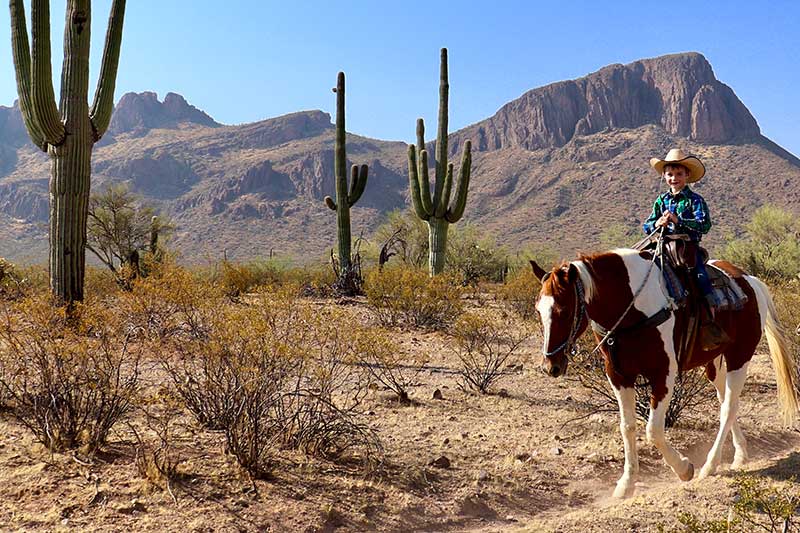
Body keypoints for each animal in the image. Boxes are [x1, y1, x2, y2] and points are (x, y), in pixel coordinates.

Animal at [528, 247, 796, 496]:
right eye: (538, 310)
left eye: (563, 310)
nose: (550, 366)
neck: (632, 307)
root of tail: (750, 281)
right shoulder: (619, 376)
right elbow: (628, 427)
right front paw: (626, 484)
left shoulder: (663, 373)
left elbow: (653, 430)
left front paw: (684, 468)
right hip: (714, 363)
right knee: (726, 402)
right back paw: (740, 455)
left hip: (739, 356)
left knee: (728, 407)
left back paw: (710, 465)